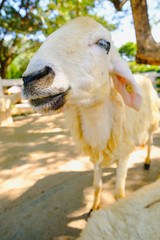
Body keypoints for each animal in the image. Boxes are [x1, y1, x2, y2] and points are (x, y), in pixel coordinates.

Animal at [21, 16, 159, 212]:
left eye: (103, 44)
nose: (32, 77)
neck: (97, 130)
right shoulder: (96, 155)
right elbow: (97, 185)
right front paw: (94, 208)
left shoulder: (124, 154)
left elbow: (119, 194)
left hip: (152, 123)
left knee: (150, 142)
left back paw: (147, 162)